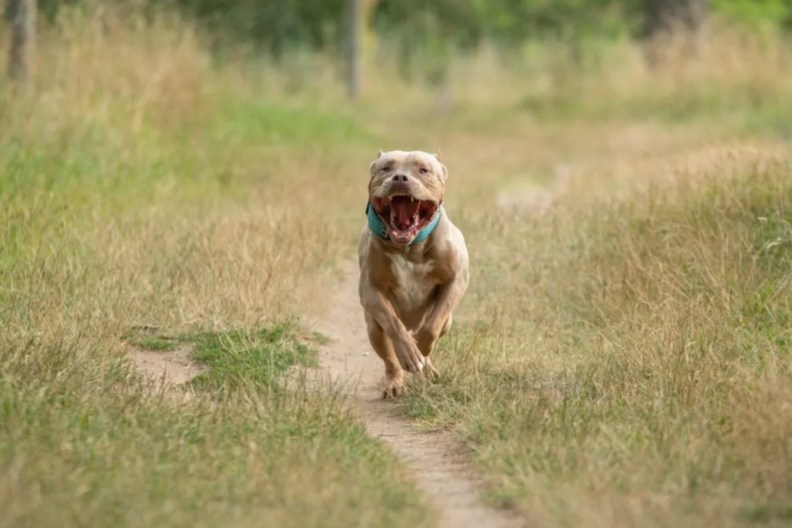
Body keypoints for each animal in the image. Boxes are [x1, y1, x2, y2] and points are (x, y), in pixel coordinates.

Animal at [358, 151, 470, 398]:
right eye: (386, 168)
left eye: (423, 170)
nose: (400, 177)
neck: (409, 247)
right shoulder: (370, 289)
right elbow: (393, 323)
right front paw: (409, 352)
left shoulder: (456, 279)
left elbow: (431, 326)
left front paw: (419, 348)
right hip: (373, 328)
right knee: (390, 358)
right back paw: (395, 382)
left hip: (448, 323)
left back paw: (427, 367)